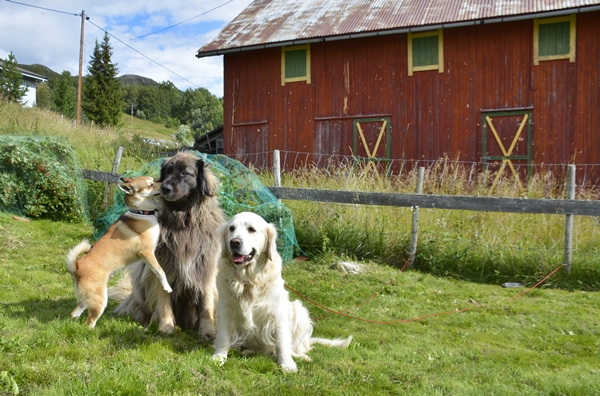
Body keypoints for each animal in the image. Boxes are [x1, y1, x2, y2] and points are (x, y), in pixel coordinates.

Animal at [110, 152, 225, 340]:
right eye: (168, 172)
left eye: (185, 173)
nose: (165, 188)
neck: (184, 222)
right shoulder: (163, 266)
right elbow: (164, 298)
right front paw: (166, 326)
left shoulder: (206, 267)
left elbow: (206, 303)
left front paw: (207, 331)